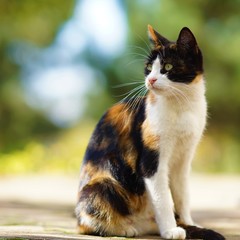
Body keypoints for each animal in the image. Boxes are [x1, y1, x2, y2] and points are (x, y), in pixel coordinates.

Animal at [75, 24, 225, 240]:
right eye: (148, 68)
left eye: (168, 67)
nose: (151, 79)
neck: (181, 106)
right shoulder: (151, 160)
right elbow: (162, 197)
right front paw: (171, 230)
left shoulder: (183, 159)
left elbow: (182, 195)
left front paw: (187, 222)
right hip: (103, 183)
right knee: (87, 223)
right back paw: (124, 228)